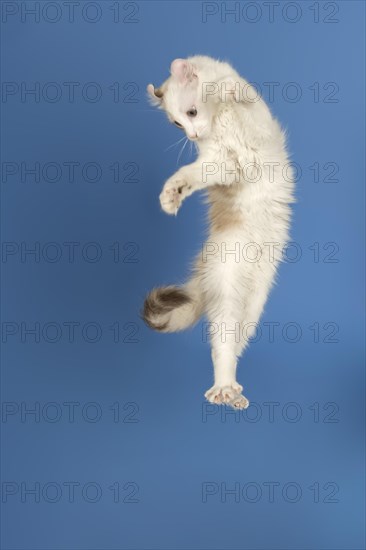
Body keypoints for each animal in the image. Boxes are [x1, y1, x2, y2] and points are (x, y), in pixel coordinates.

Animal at [143, 56, 294, 410]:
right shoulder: (222, 164)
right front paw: (171, 195)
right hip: (226, 287)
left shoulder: (252, 141)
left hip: (253, 303)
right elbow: (188, 174)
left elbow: (241, 98)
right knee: (221, 347)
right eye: (177, 124)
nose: (193, 134)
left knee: (234, 346)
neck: (218, 123)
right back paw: (223, 390)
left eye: (191, 113)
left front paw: (229, 90)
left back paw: (233, 393)